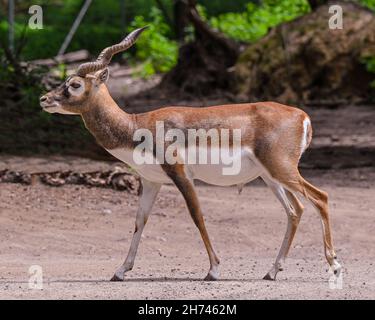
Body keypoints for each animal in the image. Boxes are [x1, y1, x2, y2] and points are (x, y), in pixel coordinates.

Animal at [39, 26, 342, 280]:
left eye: (74, 84)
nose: (44, 99)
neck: (137, 125)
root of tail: (302, 116)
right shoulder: (151, 181)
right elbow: (139, 221)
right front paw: (120, 271)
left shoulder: (181, 174)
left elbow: (197, 216)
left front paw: (214, 270)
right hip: (270, 176)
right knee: (296, 210)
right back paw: (272, 271)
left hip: (282, 170)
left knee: (321, 198)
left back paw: (335, 265)